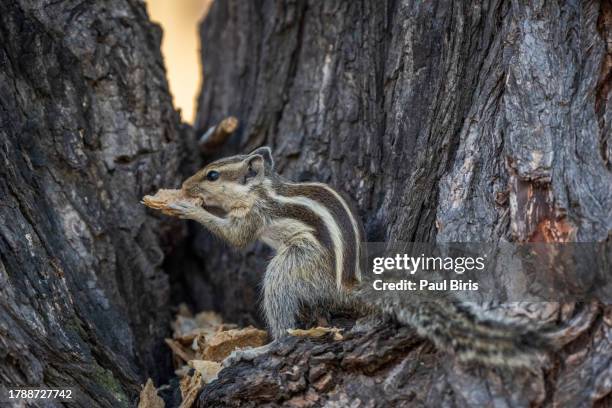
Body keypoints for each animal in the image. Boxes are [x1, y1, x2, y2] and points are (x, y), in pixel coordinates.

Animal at [165, 146, 548, 366]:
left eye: (213, 175)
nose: (184, 185)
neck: (264, 188)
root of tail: (348, 285)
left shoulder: (256, 214)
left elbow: (237, 238)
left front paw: (187, 208)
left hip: (296, 265)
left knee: (284, 329)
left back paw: (256, 350)